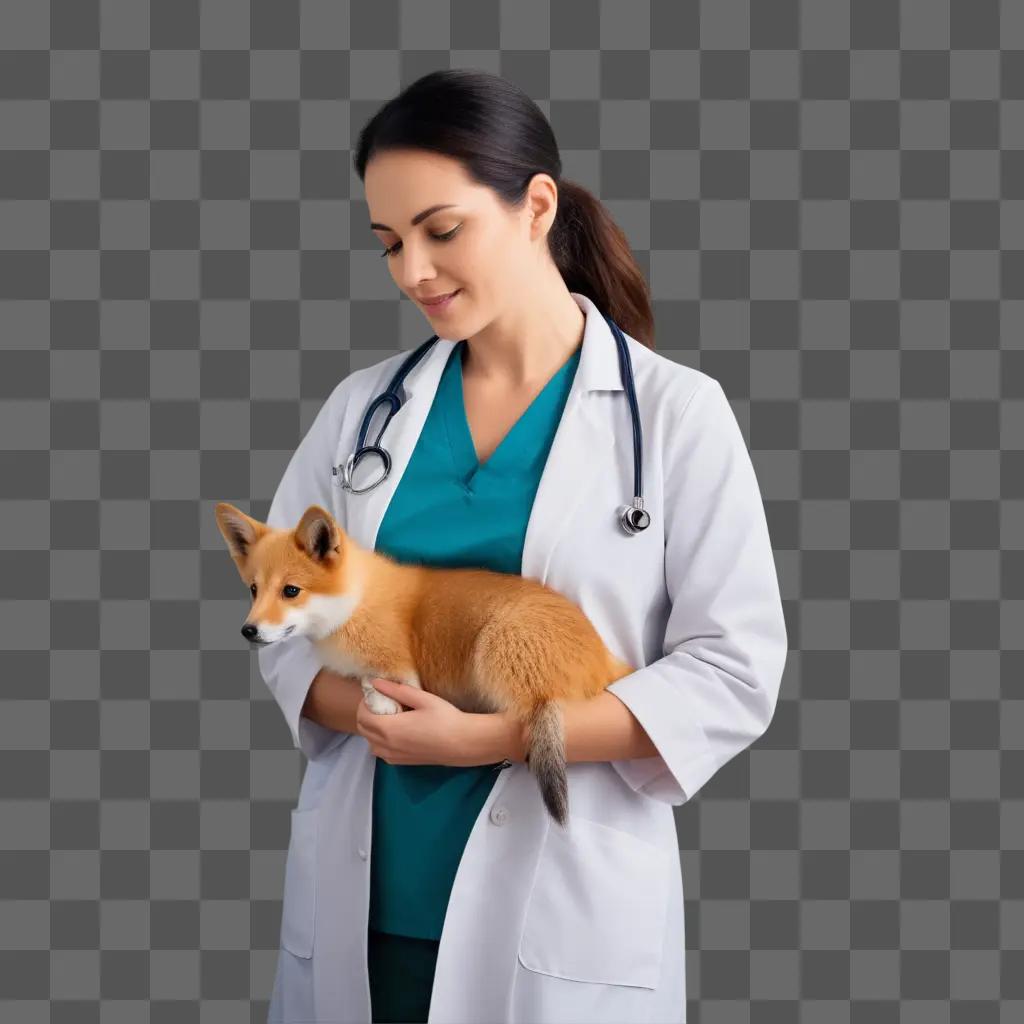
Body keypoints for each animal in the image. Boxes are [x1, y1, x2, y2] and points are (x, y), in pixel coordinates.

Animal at [212, 499, 634, 827]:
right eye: (253, 590)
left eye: (291, 591)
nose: (248, 631)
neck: (354, 602)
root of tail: (605, 658)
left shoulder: (401, 666)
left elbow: (387, 681)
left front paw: (380, 699)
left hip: (496, 650)